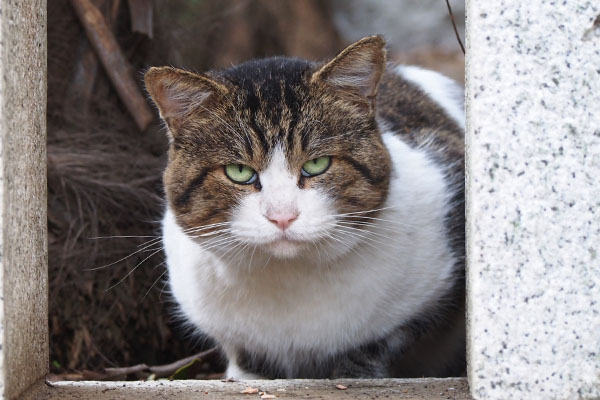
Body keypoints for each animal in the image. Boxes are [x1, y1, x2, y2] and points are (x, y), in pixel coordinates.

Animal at [144, 34, 464, 378]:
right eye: (239, 171)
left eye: (317, 164)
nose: (282, 216)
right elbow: (245, 352)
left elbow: (377, 342)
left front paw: (351, 371)